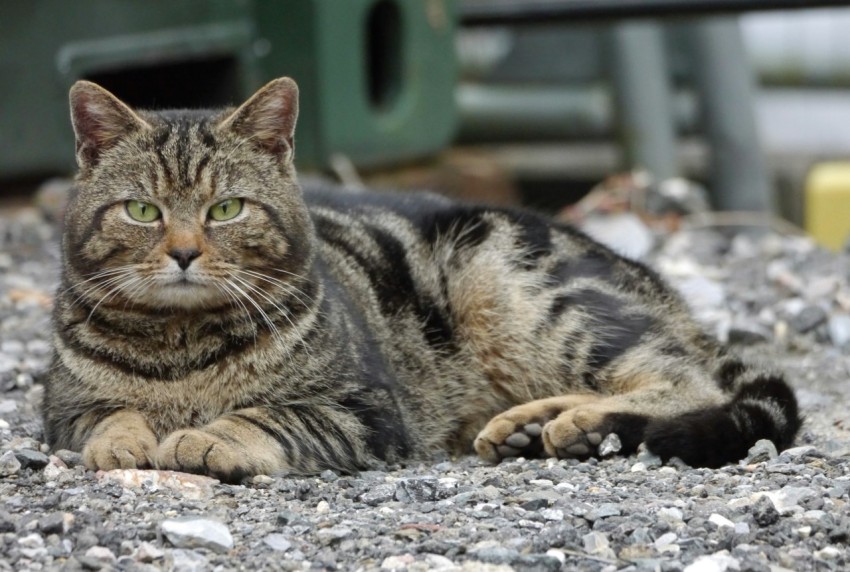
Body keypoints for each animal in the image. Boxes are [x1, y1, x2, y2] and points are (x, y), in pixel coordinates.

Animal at [43, 77, 800, 482]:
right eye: (143, 211)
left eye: (226, 209)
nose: (183, 252)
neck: (182, 345)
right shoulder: (60, 408)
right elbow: (107, 413)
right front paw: (126, 436)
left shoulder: (365, 409)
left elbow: (270, 413)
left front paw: (211, 436)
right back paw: (537, 426)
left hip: (524, 291)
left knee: (683, 381)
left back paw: (581, 423)